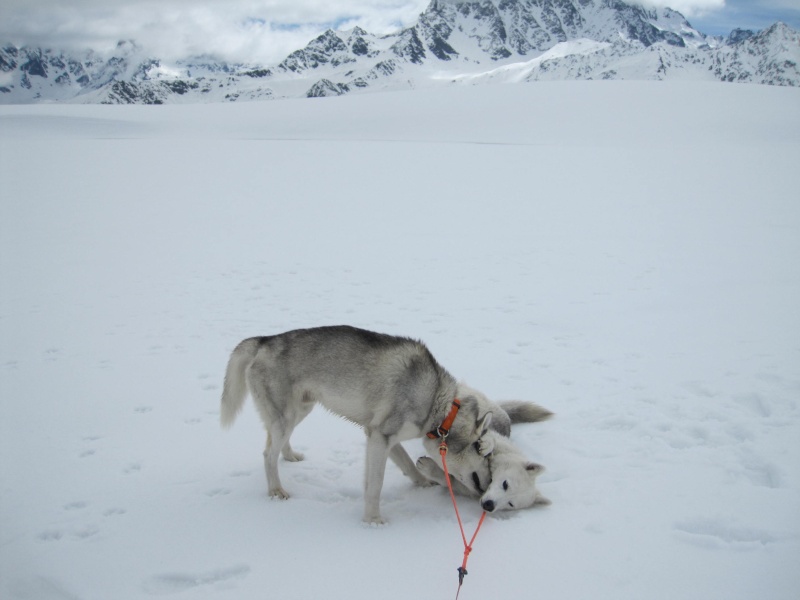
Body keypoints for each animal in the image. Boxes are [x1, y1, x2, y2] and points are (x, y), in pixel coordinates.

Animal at [220, 326, 536, 524]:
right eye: (485, 454)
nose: (486, 489)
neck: (439, 405)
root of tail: (264, 340)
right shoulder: (379, 437)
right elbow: (375, 484)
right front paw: (372, 520)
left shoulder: (385, 439)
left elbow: (407, 464)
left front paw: (424, 482)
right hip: (286, 416)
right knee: (266, 454)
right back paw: (276, 490)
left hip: (299, 410)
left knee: (275, 443)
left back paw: (290, 456)